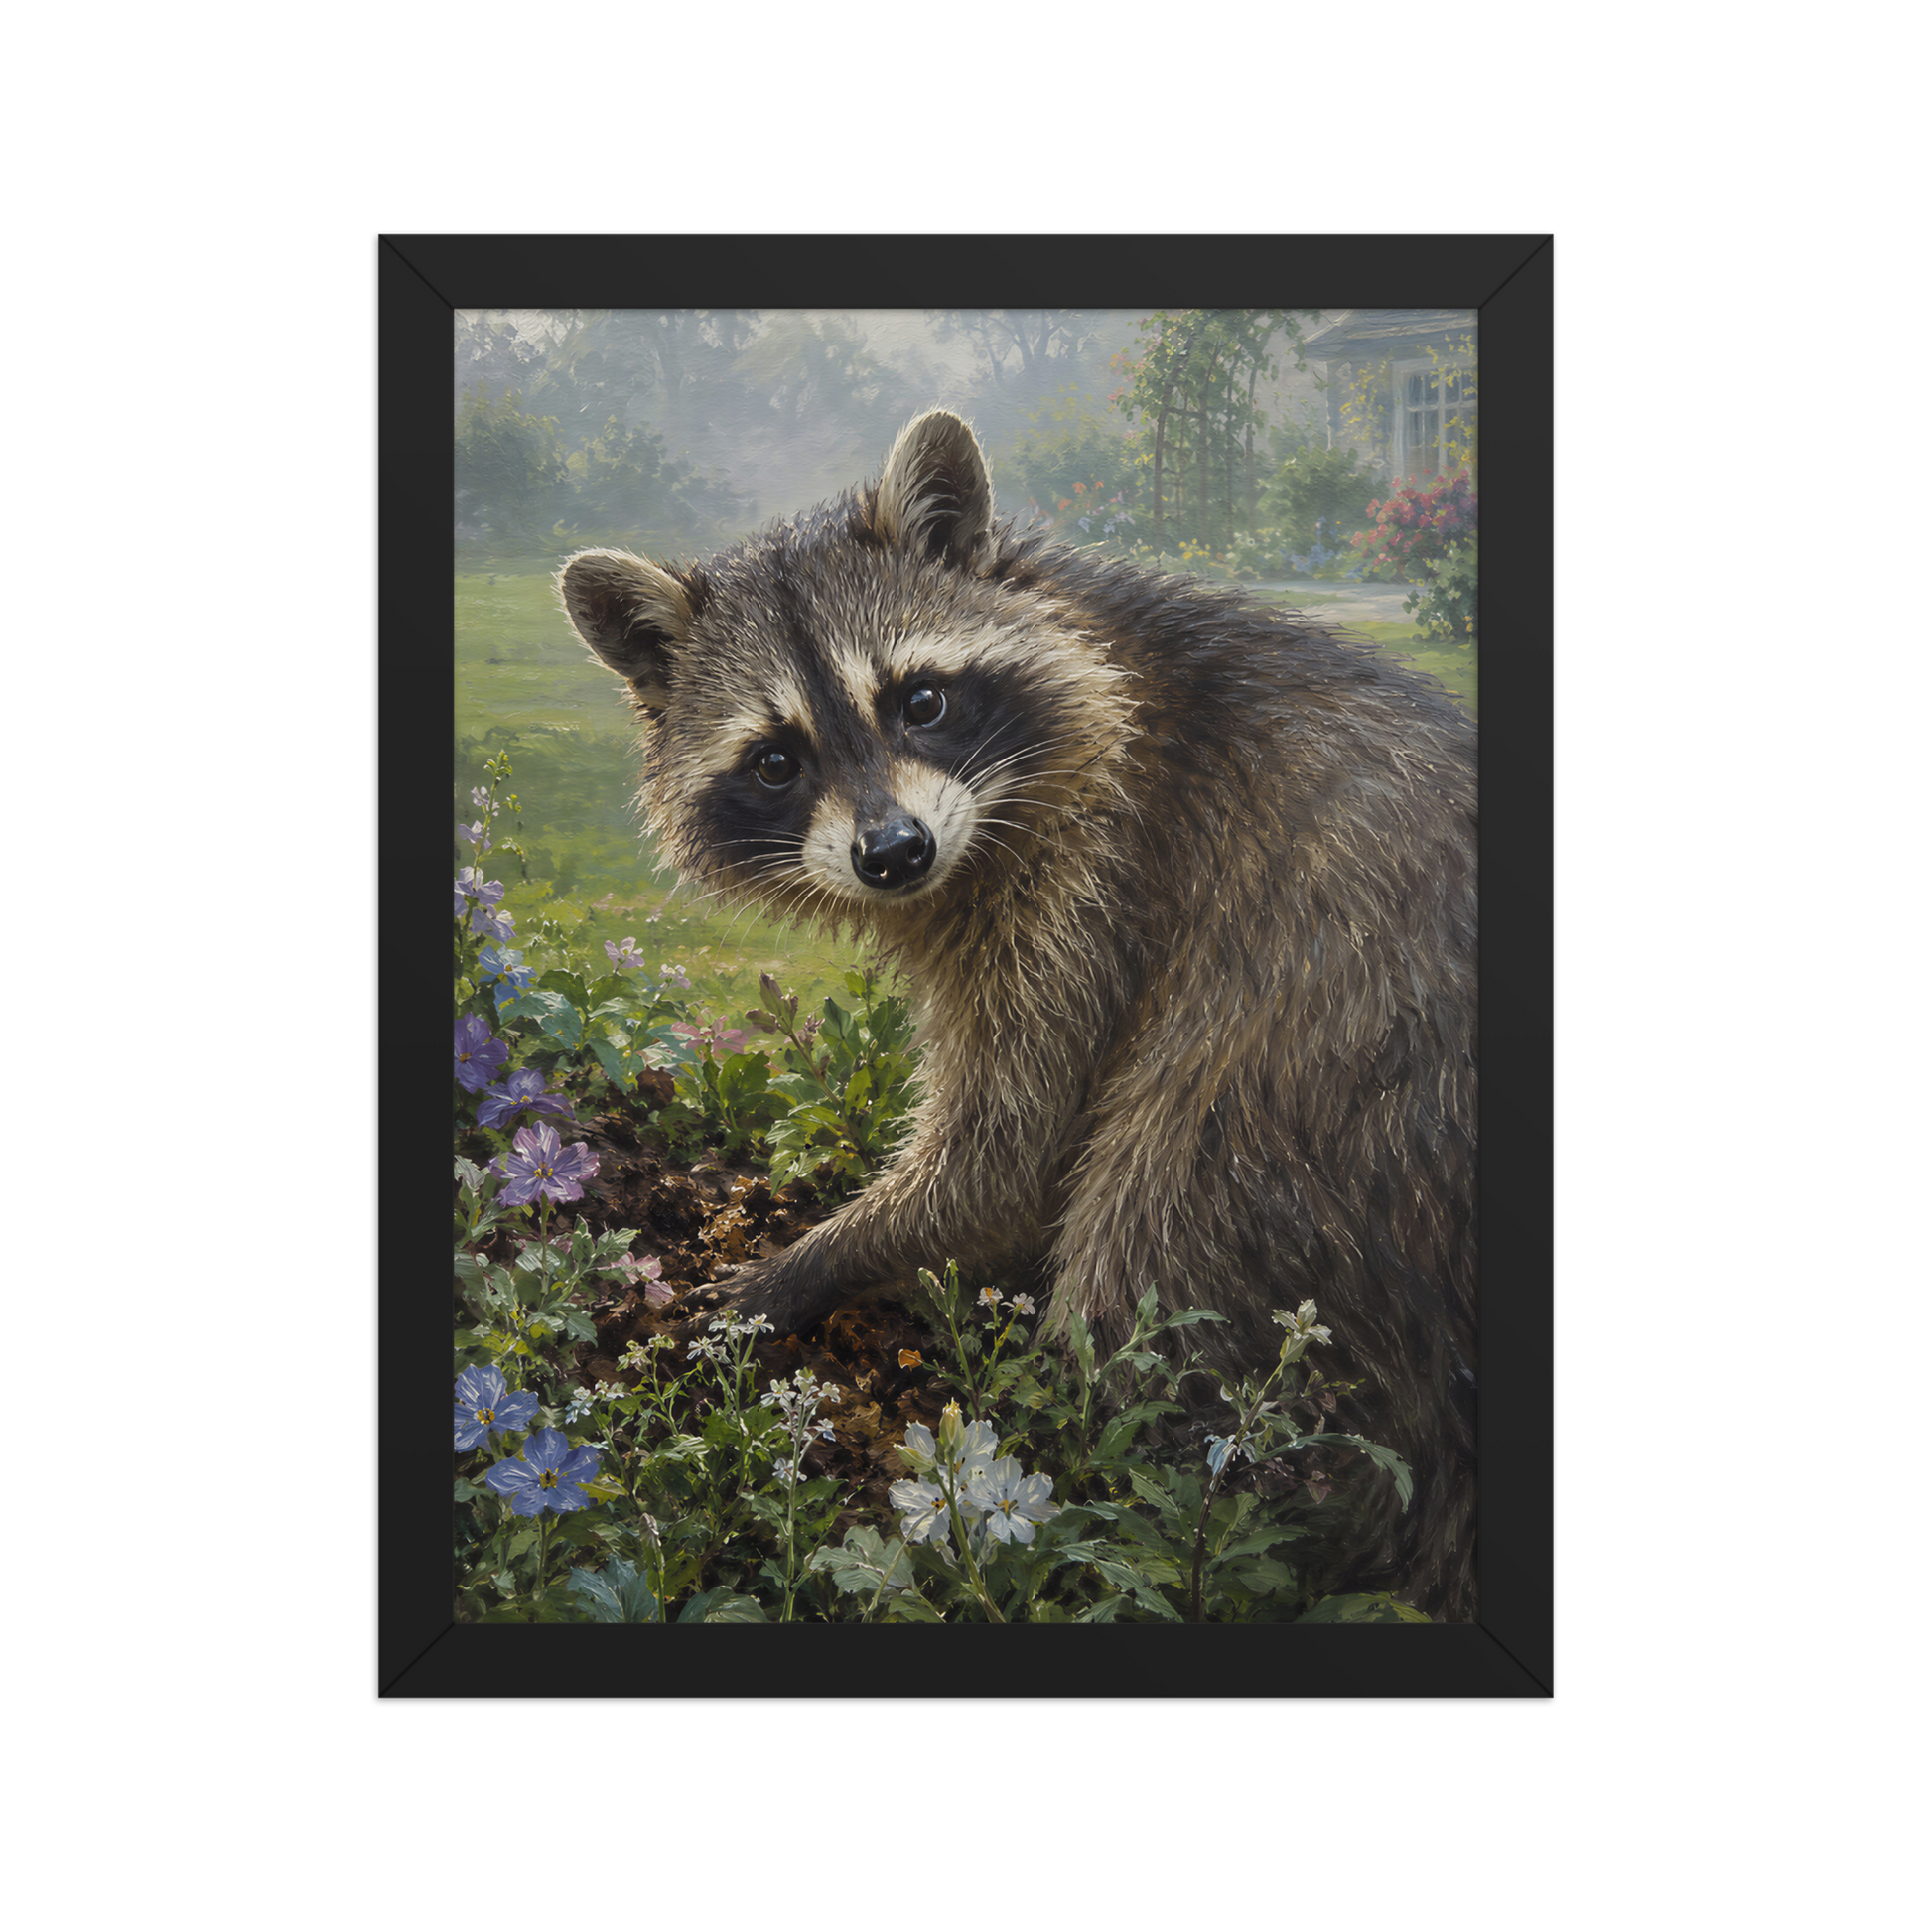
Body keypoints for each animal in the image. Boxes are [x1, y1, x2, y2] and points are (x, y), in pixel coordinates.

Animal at [558, 409, 1477, 1620]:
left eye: (920, 700)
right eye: (775, 759)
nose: (893, 853)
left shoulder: (1099, 877)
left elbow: (1008, 1151)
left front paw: (817, 1258)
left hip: (1317, 1102)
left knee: (1156, 1233)